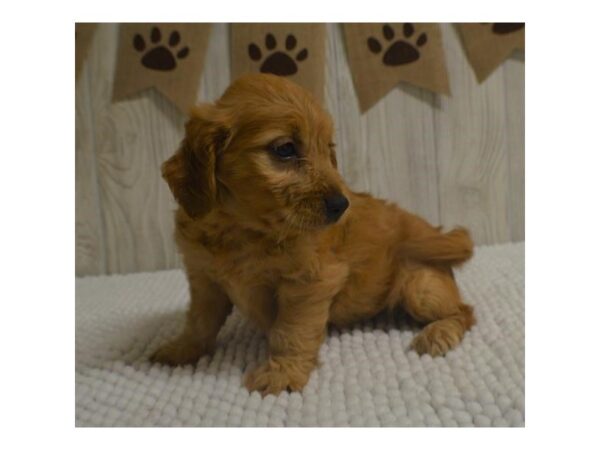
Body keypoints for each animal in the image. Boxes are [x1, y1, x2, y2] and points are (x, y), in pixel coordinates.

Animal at [152, 73, 476, 394]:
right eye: (285, 149)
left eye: (327, 149)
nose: (341, 205)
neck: (244, 228)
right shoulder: (204, 279)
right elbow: (199, 321)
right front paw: (182, 349)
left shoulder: (309, 283)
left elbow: (291, 331)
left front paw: (282, 372)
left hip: (421, 287)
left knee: (465, 311)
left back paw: (438, 333)